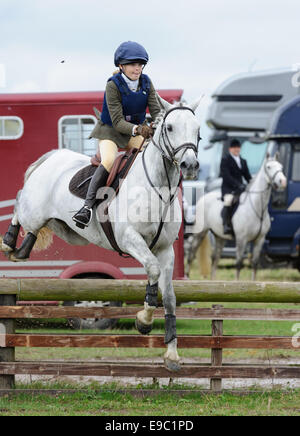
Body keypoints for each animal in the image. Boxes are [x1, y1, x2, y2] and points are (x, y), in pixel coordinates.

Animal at [0, 95, 202, 372]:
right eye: (170, 128)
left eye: (198, 129)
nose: (189, 165)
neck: (158, 186)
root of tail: (53, 157)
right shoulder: (130, 239)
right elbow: (152, 270)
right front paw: (144, 320)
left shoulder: (164, 249)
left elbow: (169, 296)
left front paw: (171, 353)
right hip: (34, 208)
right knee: (19, 204)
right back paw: (9, 243)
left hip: (63, 229)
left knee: (34, 227)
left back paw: (22, 249)